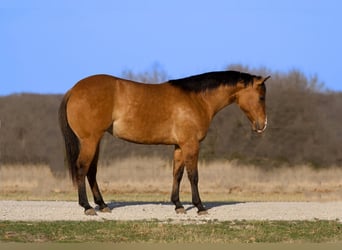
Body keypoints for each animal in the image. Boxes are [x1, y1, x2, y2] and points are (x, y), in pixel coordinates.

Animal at [58, 70, 270, 215]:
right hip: (90, 140)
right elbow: (193, 176)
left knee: (91, 171)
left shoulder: (180, 146)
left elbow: (177, 174)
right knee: (82, 168)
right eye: (261, 97)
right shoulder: (191, 144)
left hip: (96, 141)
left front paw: (178, 205)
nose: (262, 125)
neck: (197, 99)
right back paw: (87, 206)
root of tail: (74, 89)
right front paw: (200, 206)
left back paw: (102, 205)